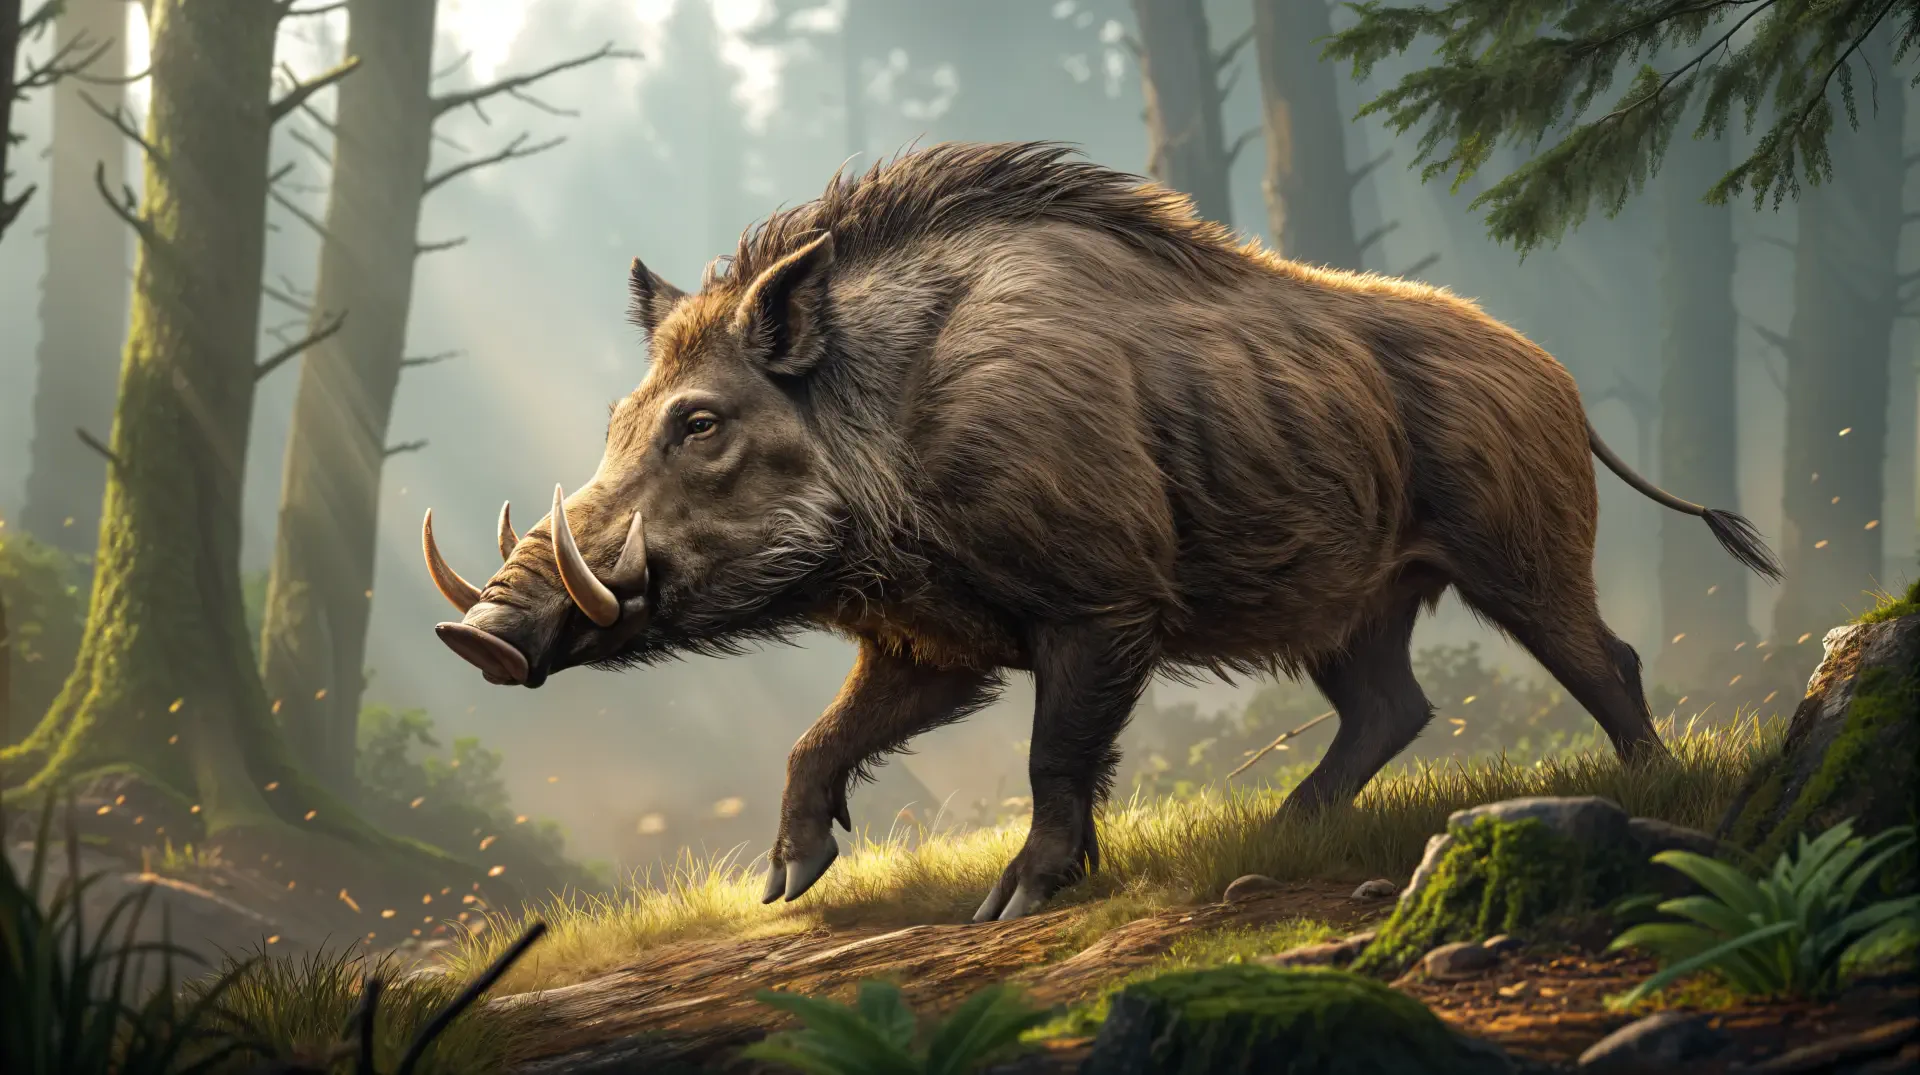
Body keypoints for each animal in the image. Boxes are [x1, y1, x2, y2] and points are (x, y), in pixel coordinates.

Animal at [422, 142, 1780, 922]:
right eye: (619, 419)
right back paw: (1284, 830)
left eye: (698, 422)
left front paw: (1012, 907)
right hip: (1356, 600)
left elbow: (1052, 755)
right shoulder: (938, 641)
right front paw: (780, 888)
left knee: (1602, 657)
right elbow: (821, 738)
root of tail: (1560, 382)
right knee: (1394, 705)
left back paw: (1655, 792)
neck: (897, 432)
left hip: (1522, 549)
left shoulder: (1102, 604)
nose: (476, 632)